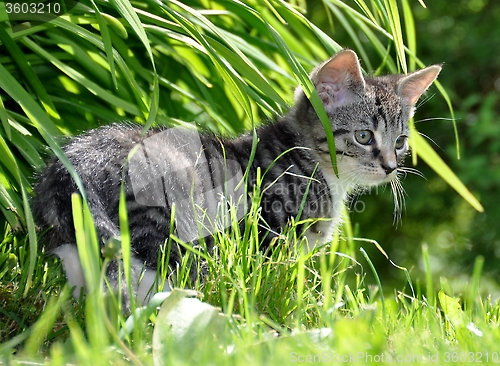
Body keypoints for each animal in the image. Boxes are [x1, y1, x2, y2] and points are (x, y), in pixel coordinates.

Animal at [32, 50, 442, 304]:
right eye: (364, 136)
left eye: (401, 142)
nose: (390, 166)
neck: (313, 162)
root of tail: (73, 162)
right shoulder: (271, 234)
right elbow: (275, 280)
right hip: (167, 219)